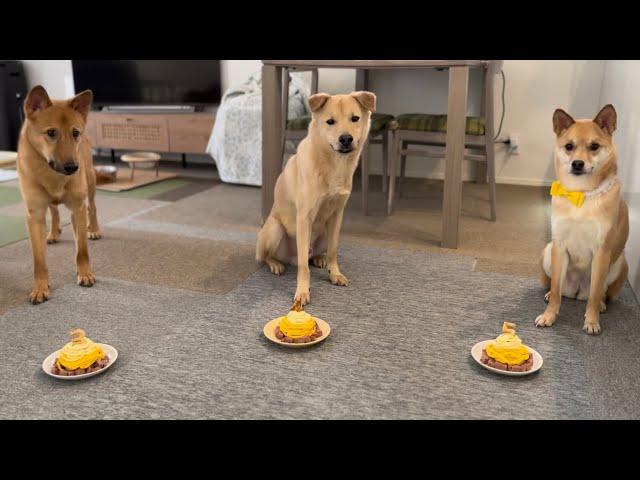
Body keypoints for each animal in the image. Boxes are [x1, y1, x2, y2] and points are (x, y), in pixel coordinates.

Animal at [16, 85, 100, 306]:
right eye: (51, 133)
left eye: (75, 133)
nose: (72, 167)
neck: (51, 173)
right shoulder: (35, 215)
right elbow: (39, 260)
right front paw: (40, 288)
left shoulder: (78, 208)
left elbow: (82, 250)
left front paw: (85, 273)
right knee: (54, 211)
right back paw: (53, 233)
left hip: (90, 181)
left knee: (92, 208)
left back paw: (94, 229)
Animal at [255, 90, 376, 304]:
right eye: (330, 121)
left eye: (355, 119)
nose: (346, 138)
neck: (334, 164)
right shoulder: (305, 217)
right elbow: (303, 265)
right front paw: (303, 291)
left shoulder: (337, 215)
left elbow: (334, 250)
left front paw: (334, 273)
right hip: (274, 230)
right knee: (271, 256)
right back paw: (276, 264)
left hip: (325, 233)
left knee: (317, 254)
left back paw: (320, 259)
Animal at [536, 105, 632, 336]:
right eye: (569, 146)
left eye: (594, 146)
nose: (577, 163)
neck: (582, 194)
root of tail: (577, 291)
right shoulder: (559, 246)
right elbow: (555, 290)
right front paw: (549, 315)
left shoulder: (601, 251)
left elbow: (595, 294)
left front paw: (592, 321)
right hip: (548, 252)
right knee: (557, 288)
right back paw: (549, 296)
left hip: (619, 263)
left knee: (600, 293)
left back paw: (602, 305)